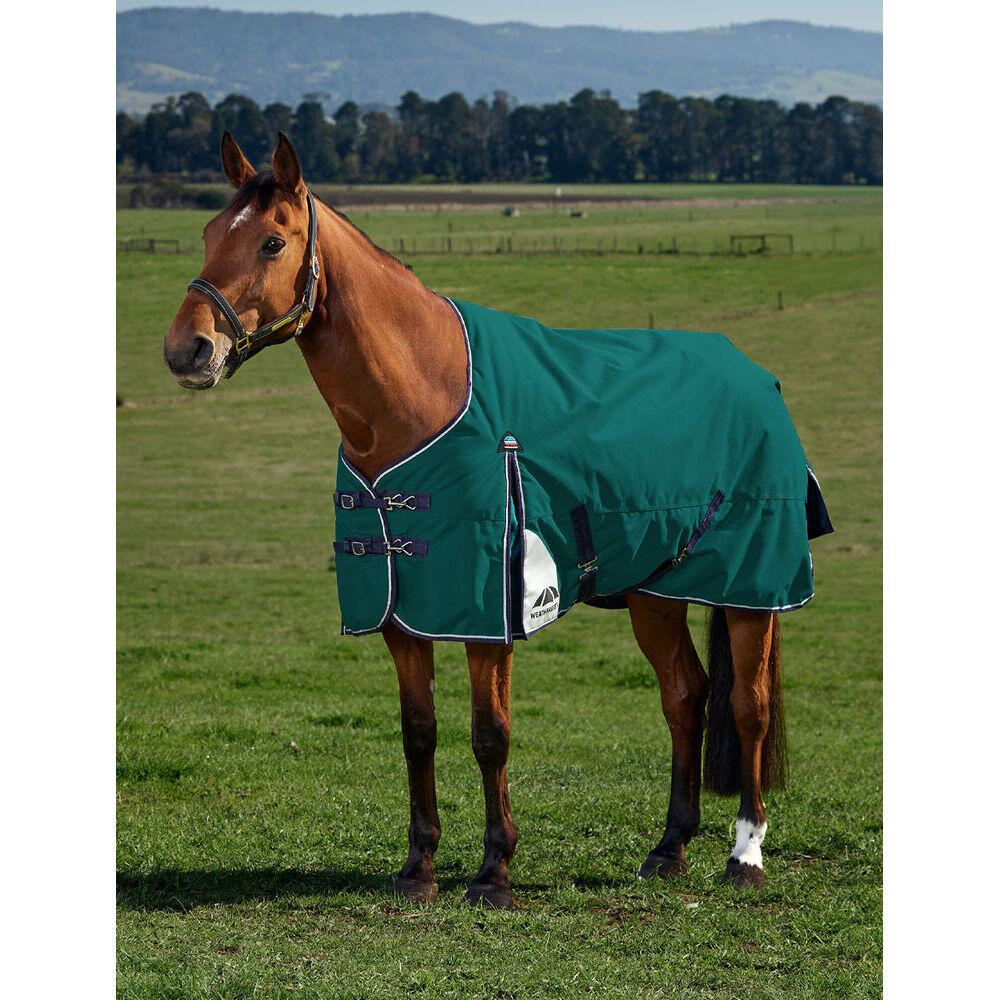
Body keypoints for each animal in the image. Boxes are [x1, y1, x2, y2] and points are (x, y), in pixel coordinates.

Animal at [163, 132, 830, 908]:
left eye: (272, 242)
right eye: (209, 234)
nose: (187, 350)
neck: (421, 399)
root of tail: (758, 377)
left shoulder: (488, 616)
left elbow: (491, 735)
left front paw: (494, 871)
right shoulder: (403, 616)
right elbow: (418, 732)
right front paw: (418, 867)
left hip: (751, 587)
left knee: (748, 706)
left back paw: (745, 854)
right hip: (655, 591)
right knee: (684, 695)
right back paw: (669, 848)